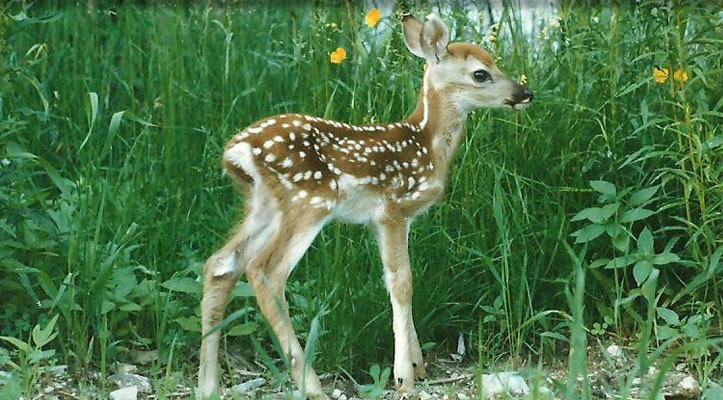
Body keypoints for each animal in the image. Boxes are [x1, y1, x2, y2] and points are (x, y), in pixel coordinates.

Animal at [197, 12, 533, 399]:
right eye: (481, 73)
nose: (524, 94)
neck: (427, 145)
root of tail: (236, 151)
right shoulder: (394, 209)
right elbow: (402, 282)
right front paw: (404, 376)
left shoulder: (380, 221)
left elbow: (395, 278)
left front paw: (418, 364)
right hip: (309, 201)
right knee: (266, 271)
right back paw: (311, 384)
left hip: (264, 205)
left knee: (221, 265)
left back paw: (207, 385)